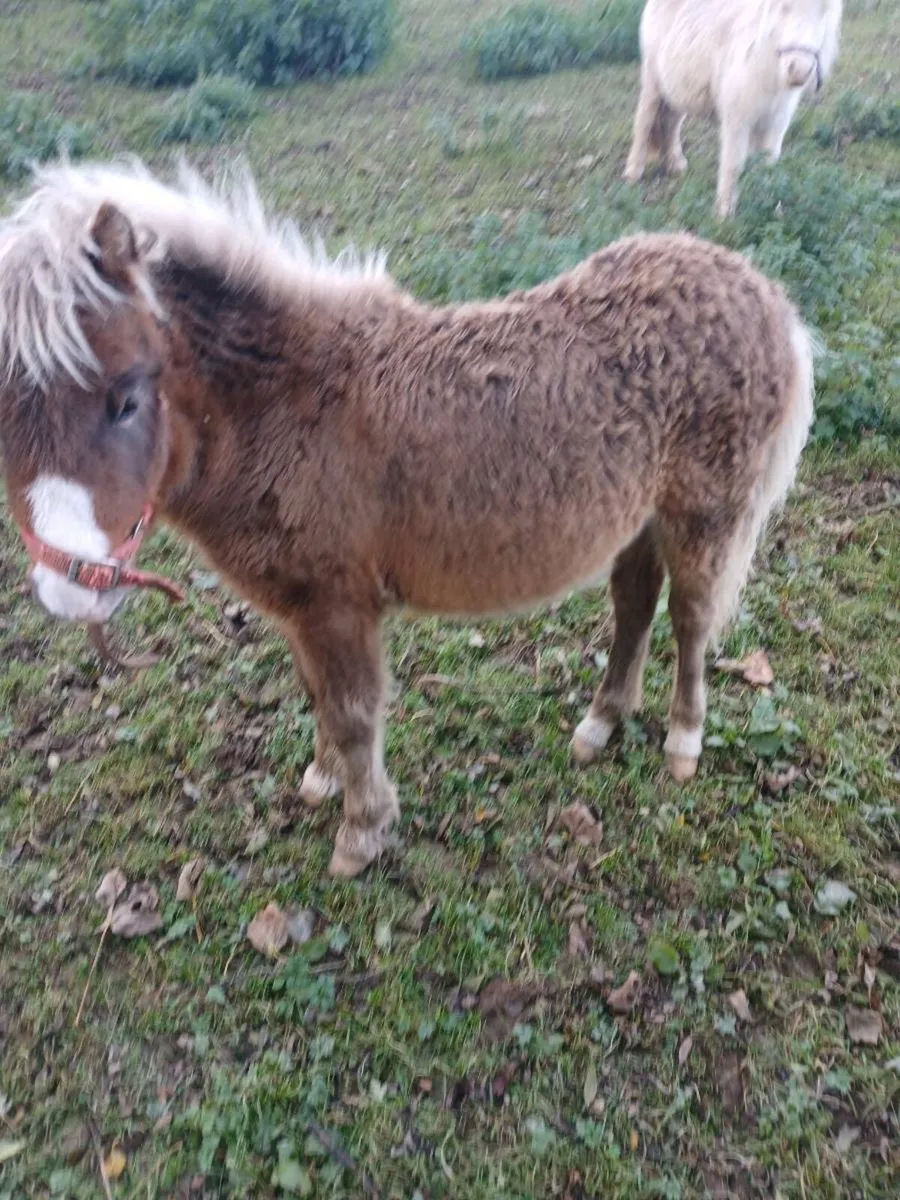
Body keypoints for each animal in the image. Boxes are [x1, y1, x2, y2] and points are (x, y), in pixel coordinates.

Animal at [0, 160, 814, 877]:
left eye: (128, 398)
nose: (72, 587)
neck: (285, 401)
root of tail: (762, 292)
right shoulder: (300, 609)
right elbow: (317, 695)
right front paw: (323, 779)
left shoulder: (339, 605)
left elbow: (355, 713)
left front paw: (362, 832)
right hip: (639, 518)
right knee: (635, 605)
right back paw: (600, 723)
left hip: (704, 512)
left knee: (690, 619)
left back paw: (683, 741)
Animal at [624, 0, 843, 218]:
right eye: (783, 7)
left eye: (824, 13)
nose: (799, 70)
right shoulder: (738, 119)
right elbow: (734, 165)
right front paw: (724, 213)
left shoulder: (775, 122)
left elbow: (768, 163)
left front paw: (767, 202)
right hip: (653, 80)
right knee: (645, 121)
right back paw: (633, 173)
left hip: (677, 89)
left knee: (671, 123)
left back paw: (676, 165)